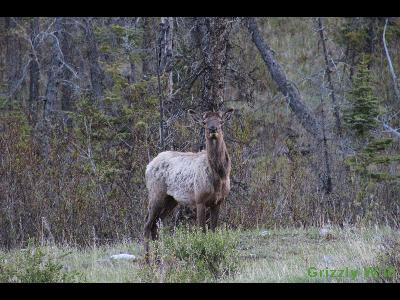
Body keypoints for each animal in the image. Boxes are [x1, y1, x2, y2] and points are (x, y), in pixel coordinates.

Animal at [144, 108, 234, 260]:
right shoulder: (200, 199)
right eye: (204, 122)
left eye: (221, 121)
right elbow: (201, 230)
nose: (213, 129)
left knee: (156, 224)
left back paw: (158, 259)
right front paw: (204, 253)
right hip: (156, 194)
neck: (219, 176)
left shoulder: (218, 201)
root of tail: (148, 166)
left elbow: (213, 230)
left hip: (171, 200)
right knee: (147, 224)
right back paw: (147, 261)